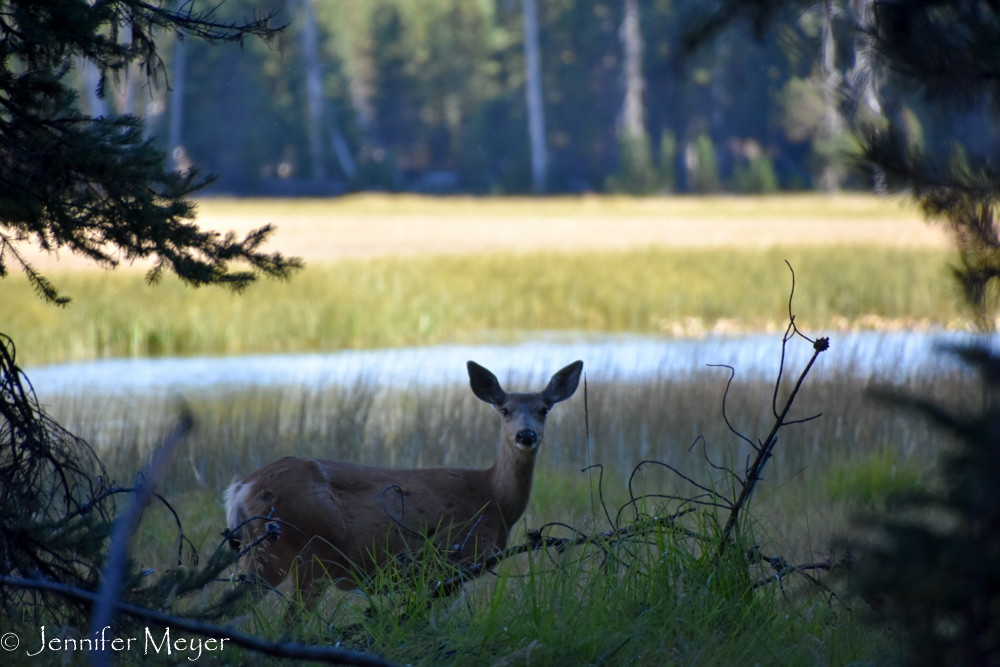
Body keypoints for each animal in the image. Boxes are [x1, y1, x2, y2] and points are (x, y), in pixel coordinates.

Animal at [225, 362, 584, 608]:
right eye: (505, 409)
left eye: (545, 409)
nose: (526, 435)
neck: (493, 500)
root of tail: (241, 488)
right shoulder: (450, 560)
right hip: (302, 548)